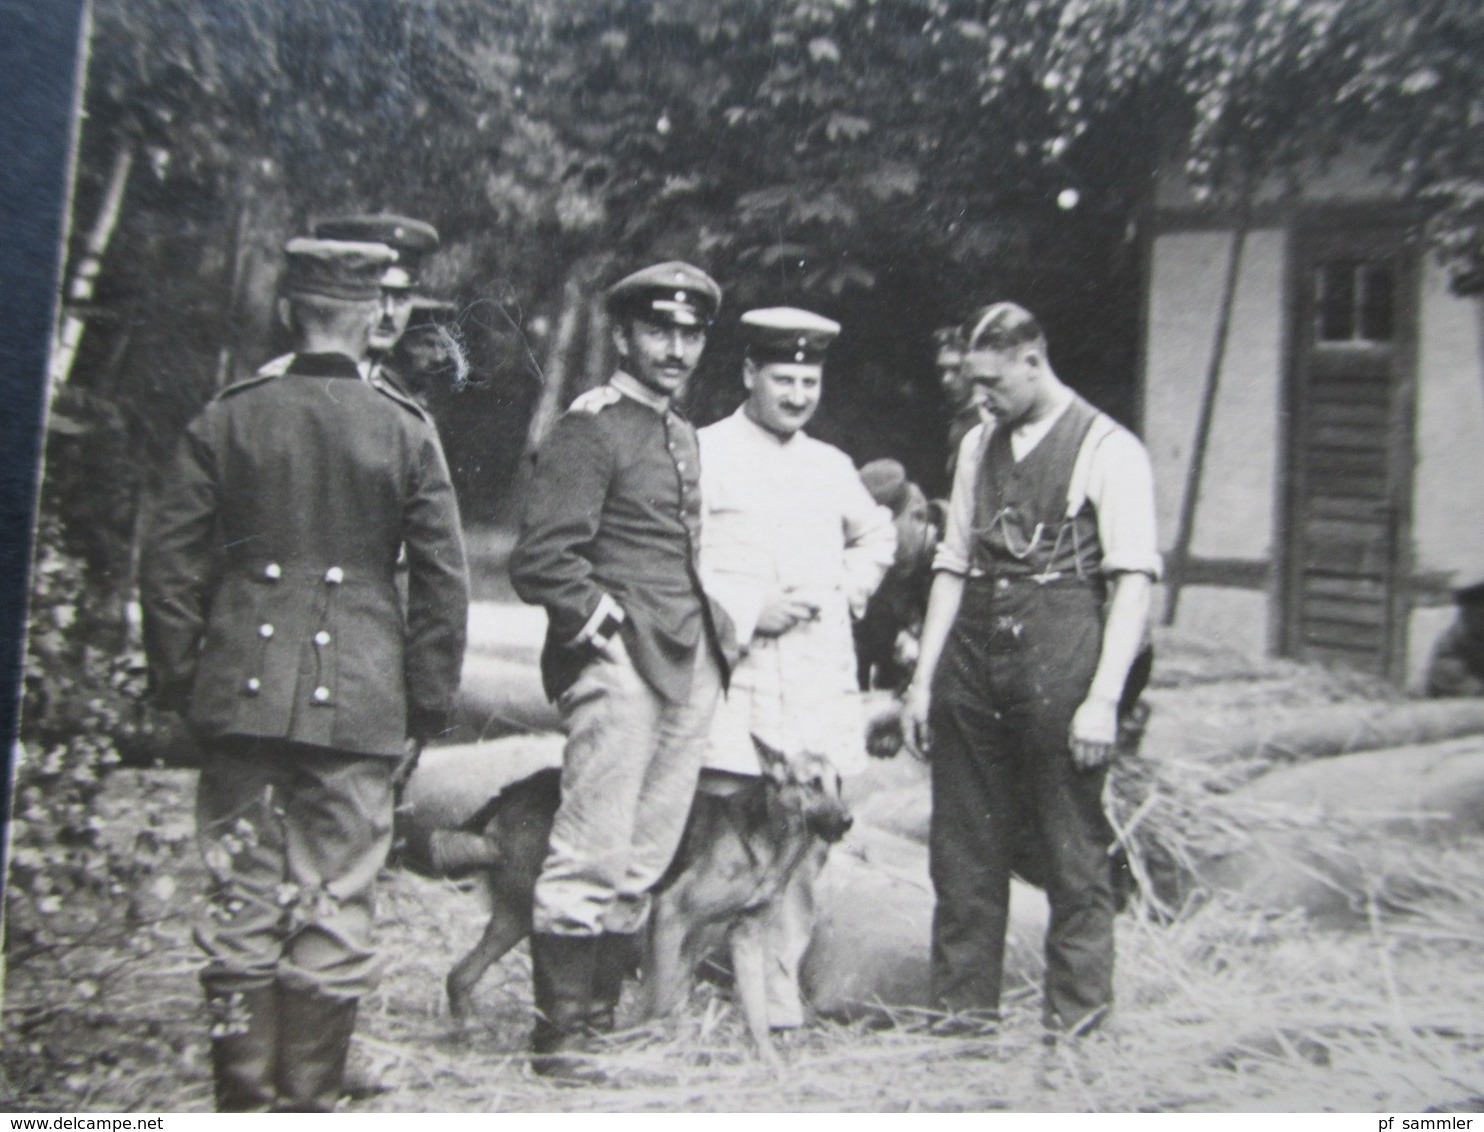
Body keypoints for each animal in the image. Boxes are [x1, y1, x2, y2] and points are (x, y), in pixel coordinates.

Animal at [424, 738, 854, 1068]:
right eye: (812, 784)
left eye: (839, 783)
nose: (848, 821)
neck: (765, 837)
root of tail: (513, 788)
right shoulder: (670, 916)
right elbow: (660, 1000)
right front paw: (651, 1043)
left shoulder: (743, 936)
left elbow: (756, 1012)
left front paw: (769, 1062)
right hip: (533, 907)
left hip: (515, 918)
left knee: (459, 975)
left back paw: (470, 1030)